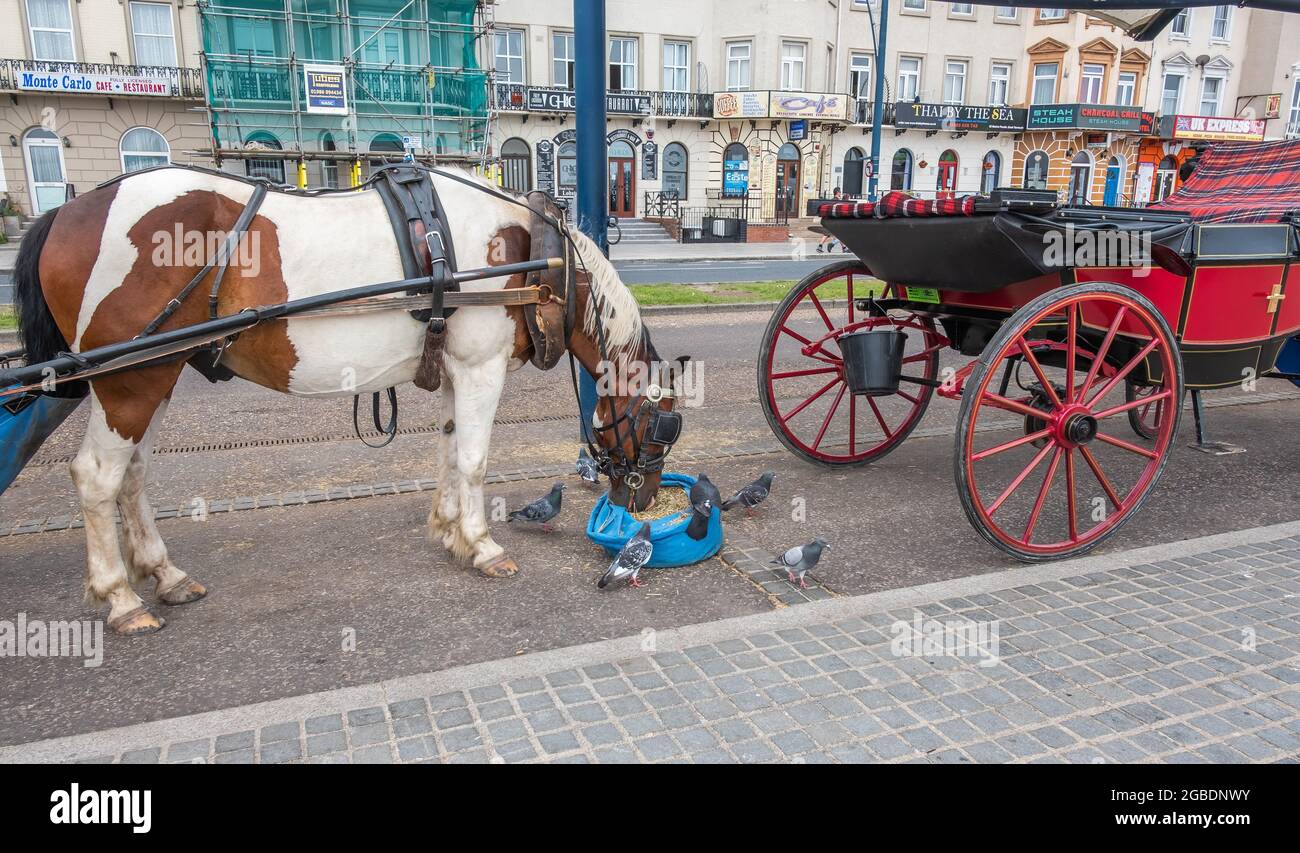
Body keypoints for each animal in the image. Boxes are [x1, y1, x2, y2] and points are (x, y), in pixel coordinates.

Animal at [15, 165, 676, 631]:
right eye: (661, 430)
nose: (641, 500)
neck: (532, 250)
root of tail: (66, 211)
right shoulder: (480, 368)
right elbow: (472, 459)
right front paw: (482, 544)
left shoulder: (453, 368)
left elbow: (446, 450)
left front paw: (448, 531)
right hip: (128, 381)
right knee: (97, 477)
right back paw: (121, 596)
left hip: (156, 374)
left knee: (132, 475)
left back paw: (164, 573)